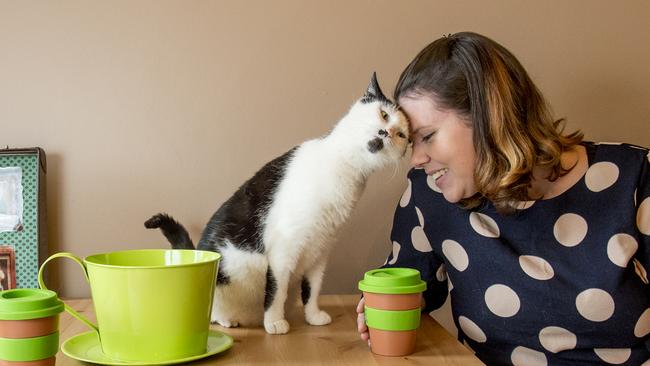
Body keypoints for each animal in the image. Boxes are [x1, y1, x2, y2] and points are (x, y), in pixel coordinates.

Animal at [145, 72, 408, 334]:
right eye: (384, 114)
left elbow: (313, 289)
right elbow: (276, 290)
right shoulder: (284, 250)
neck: (347, 167)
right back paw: (228, 320)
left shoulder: (320, 252)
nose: (386, 132)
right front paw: (274, 322)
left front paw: (313, 316)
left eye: (402, 135)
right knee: (215, 312)